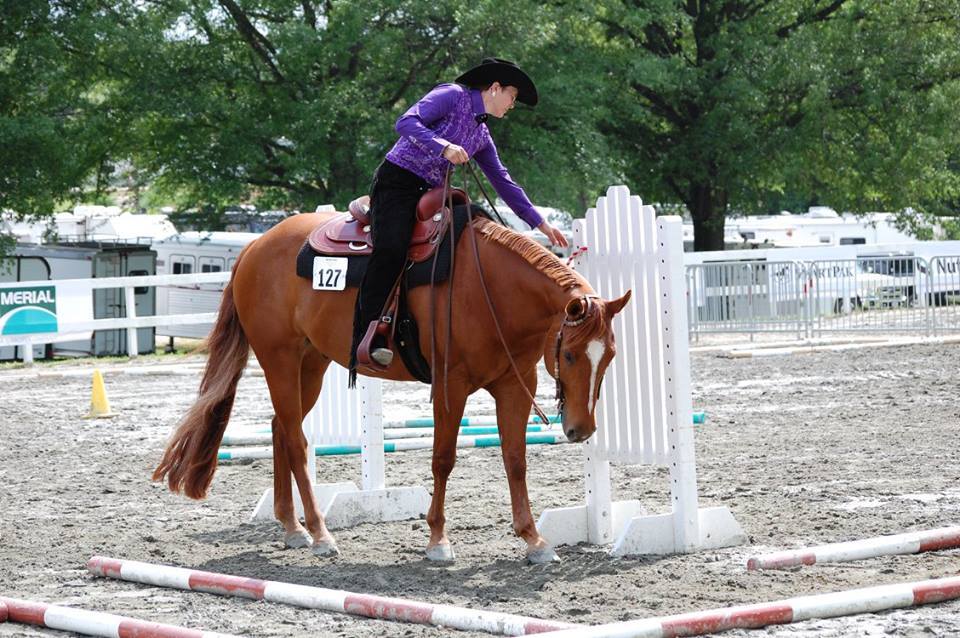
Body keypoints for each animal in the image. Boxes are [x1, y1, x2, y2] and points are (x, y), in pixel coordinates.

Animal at [152, 211, 632, 564]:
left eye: (609, 356)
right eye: (570, 355)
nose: (580, 429)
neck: (490, 288)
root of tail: (255, 246)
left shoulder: (515, 385)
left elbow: (515, 461)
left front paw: (534, 541)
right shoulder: (450, 386)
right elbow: (443, 459)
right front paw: (438, 541)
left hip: (311, 362)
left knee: (280, 429)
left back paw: (291, 526)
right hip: (280, 358)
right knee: (295, 437)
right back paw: (320, 533)